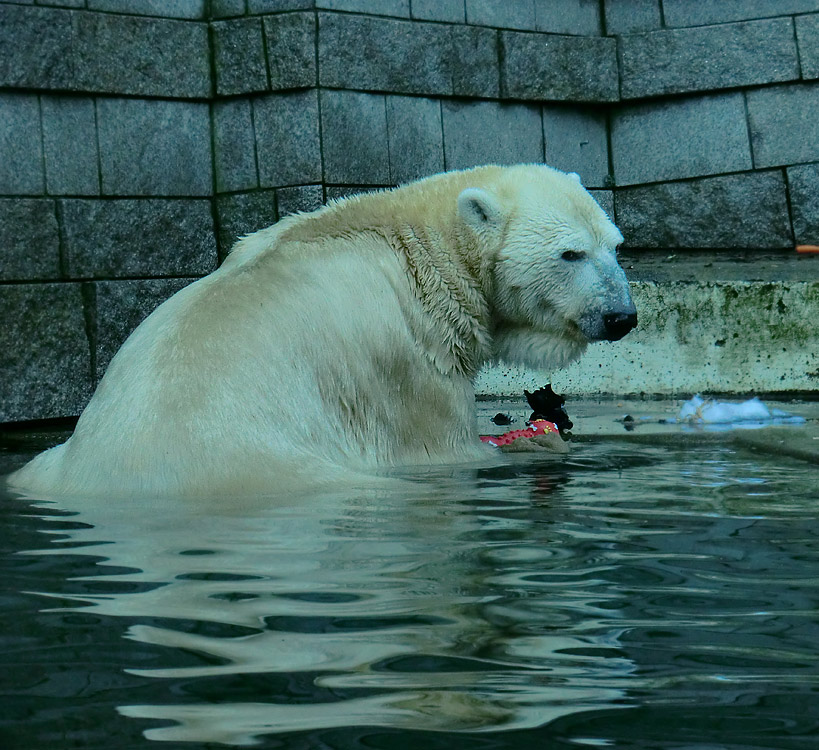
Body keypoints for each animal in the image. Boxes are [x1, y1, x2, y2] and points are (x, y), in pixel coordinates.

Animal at [11, 169, 636, 500]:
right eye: (570, 253)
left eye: (615, 243)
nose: (622, 317)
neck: (422, 244)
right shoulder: (409, 358)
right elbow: (447, 448)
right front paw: (538, 438)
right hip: (278, 464)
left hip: (44, 466)